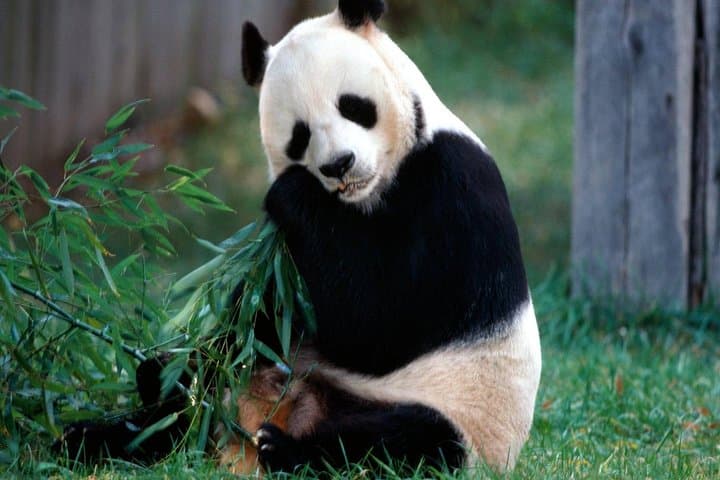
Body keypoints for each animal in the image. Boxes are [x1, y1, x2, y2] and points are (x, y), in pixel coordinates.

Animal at [59, 0, 541, 475]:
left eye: (353, 106)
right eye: (299, 135)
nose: (339, 164)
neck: (364, 198)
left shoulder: (452, 191)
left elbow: (378, 324)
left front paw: (292, 191)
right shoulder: (288, 261)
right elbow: (264, 311)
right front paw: (168, 371)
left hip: (462, 418)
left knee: (404, 442)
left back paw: (286, 450)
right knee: (184, 414)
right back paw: (111, 423)